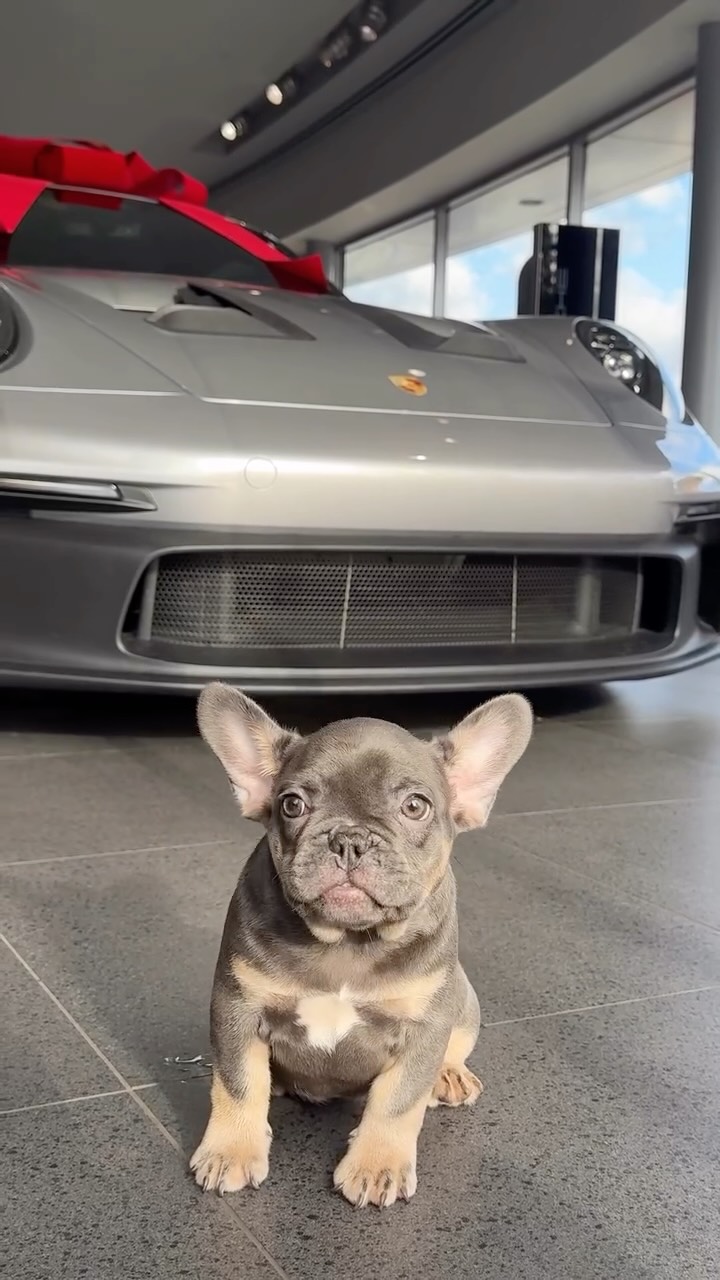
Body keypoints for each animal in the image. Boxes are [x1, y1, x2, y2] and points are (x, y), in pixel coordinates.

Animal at [190, 683, 532, 1208]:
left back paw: (449, 1075)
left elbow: (398, 1101)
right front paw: (230, 1150)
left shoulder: (425, 1024)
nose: (348, 838)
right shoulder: (237, 1007)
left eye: (415, 806)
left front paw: (377, 1165)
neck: (347, 942)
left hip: (463, 995)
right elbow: (239, 1082)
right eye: (292, 805)